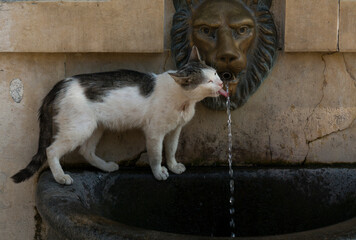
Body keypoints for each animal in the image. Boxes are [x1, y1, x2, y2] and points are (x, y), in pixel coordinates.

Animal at [11, 47, 228, 186]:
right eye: (208, 81)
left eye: (216, 74)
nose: (221, 83)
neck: (183, 100)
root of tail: (61, 83)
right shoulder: (155, 132)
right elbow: (156, 155)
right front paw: (159, 172)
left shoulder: (175, 129)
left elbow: (171, 149)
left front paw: (174, 166)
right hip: (79, 127)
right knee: (51, 150)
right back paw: (61, 177)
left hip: (95, 126)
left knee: (86, 151)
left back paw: (106, 167)